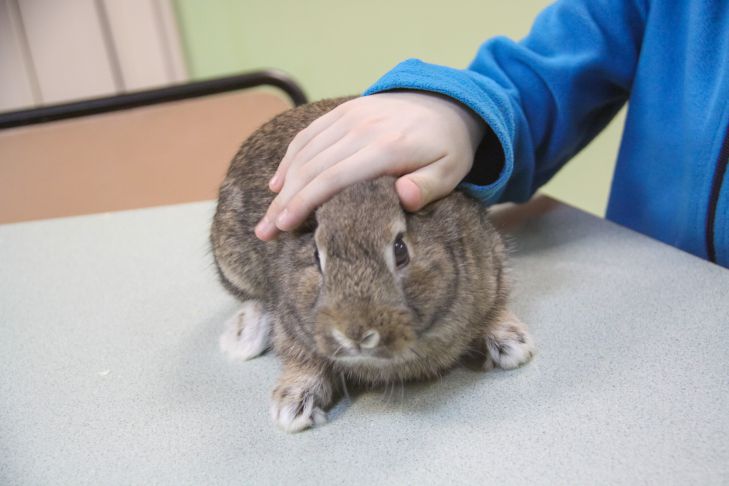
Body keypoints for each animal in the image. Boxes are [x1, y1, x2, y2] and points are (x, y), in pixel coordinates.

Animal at [210, 97, 536, 430]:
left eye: (401, 250)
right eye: (316, 256)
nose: (355, 334)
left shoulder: (491, 264)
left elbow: (494, 307)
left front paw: (513, 346)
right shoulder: (292, 325)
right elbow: (301, 357)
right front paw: (292, 407)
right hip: (233, 265)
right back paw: (243, 336)